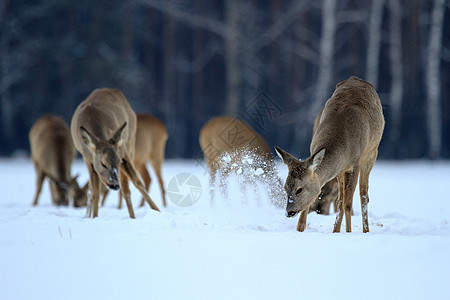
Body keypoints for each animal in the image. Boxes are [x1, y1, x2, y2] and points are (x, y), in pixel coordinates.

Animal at [70, 87, 160, 218]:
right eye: (103, 163)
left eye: (118, 161)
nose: (114, 184)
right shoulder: (87, 158)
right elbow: (95, 192)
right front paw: (94, 217)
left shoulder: (122, 151)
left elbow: (137, 182)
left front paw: (157, 210)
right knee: (93, 189)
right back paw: (88, 214)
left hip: (131, 142)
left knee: (127, 188)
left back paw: (133, 216)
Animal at [276, 77, 384, 232]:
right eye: (285, 187)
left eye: (299, 189)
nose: (289, 212)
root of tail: (356, 79)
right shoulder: (338, 168)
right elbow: (335, 200)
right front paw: (300, 229)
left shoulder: (356, 162)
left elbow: (348, 203)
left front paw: (347, 232)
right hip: (341, 171)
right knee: (341, 198)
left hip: (372, 152)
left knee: (363, 194)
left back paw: (365, 230)